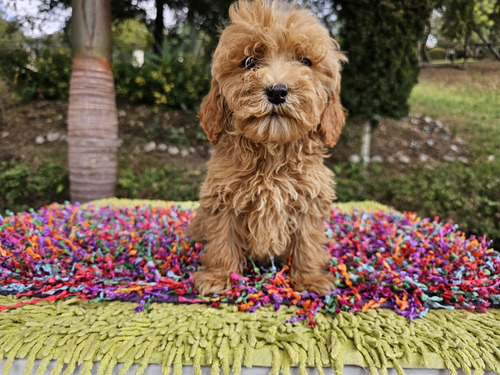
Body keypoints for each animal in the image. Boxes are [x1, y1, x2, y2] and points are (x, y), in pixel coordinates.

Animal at [188, 0, 348, 296]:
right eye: (250, 62)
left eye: (305, 61)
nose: (277, 90)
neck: (272, 153)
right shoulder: (222, 197)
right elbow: (222, 239)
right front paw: (218, 276)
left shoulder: (310, 199)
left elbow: (308, 242)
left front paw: (310, 278)